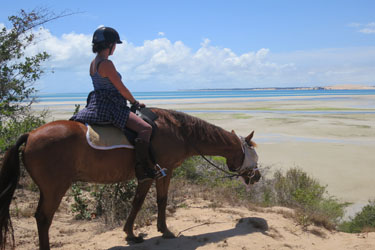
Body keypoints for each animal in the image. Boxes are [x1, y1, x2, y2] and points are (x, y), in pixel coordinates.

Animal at [0, 108, 260, 250]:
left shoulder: (150, 175)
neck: (179, 132)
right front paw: (162, 231)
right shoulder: (163, 171)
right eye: (253, 155)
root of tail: (30, 135)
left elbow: (142, 202)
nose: (257, 176)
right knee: (44, 219)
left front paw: (133, 234)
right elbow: (157, 201)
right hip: (55, 189)